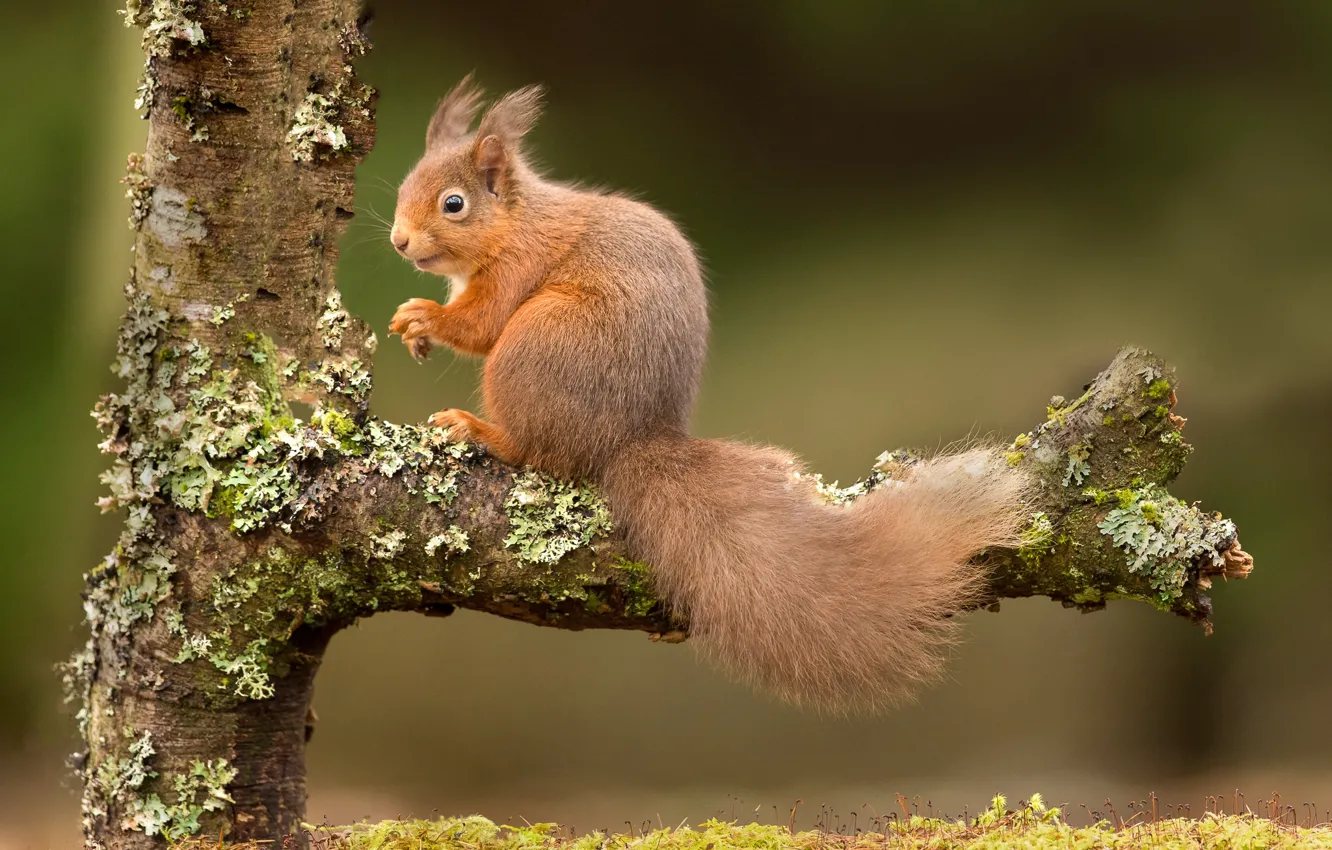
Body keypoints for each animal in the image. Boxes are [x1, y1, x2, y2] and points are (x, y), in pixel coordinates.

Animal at [386, 78, 1028, 714]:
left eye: (453, 204)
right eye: (401, 189)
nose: (398, 242)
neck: (515, 221)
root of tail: (630, 440)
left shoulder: (519, 265)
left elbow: (481, 324)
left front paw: (424, 317)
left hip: (535, 346)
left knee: (534, 449)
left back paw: (479, 429)